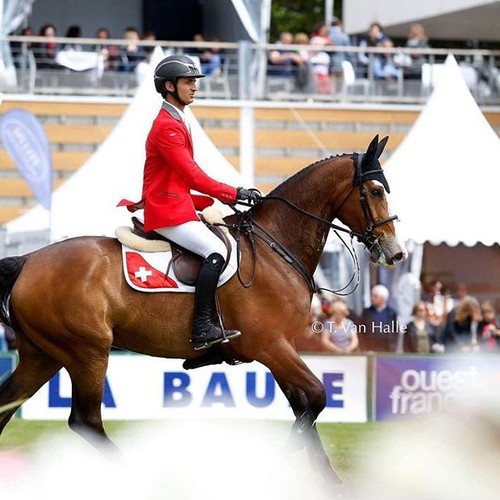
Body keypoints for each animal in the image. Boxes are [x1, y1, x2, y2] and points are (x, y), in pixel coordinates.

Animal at [0, 134, 404, 484]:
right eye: (375, 191)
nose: (395, 252)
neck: (275, 245)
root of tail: (29, 260)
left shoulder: (281, 349)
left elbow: (305, 405)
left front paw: (327, 479)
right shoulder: (270, 345)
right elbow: (316, 397)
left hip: (44, 354)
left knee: (7, 405)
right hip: (87, 352)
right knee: (85, 421)